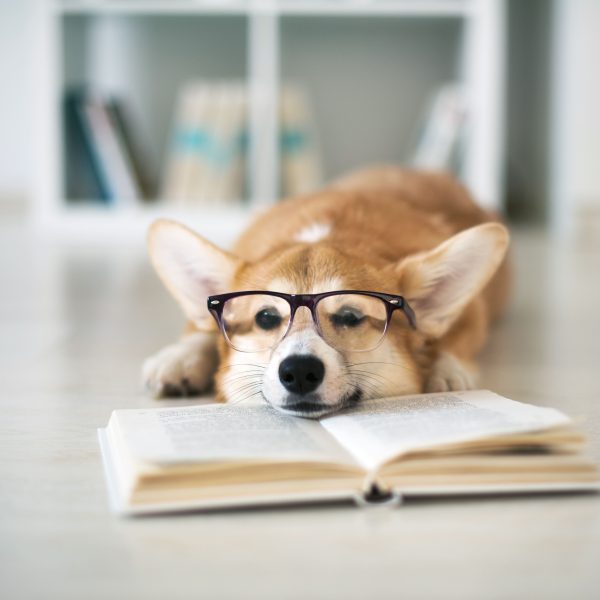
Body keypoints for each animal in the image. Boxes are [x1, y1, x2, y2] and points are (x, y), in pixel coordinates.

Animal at [143, 165, 508, 418]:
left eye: (351, 317)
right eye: (265, 317)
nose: (299, 372)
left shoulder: (474, 312)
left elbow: (456, 339)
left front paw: (447, 372)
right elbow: (201, 329)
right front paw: (179, 359)